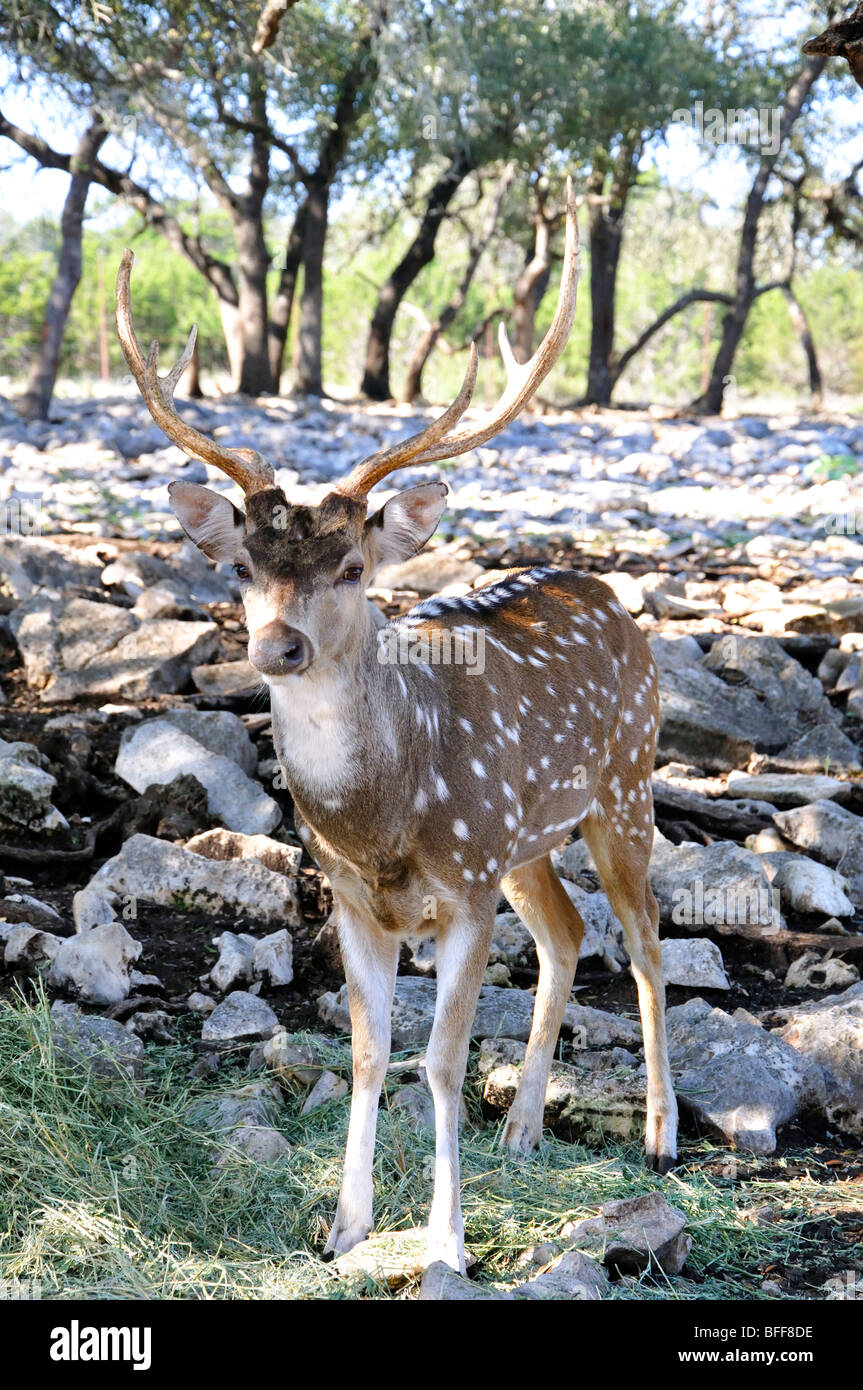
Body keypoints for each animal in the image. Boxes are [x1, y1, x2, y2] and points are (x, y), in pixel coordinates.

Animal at [114, 179, 675, 1273]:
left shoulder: (460, 892)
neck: (378, 822)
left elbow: (444, 1060)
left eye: (349, 567)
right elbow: (373, 1053)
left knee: (642, 939)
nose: (279, 645)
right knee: (565, 934)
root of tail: (606, 589)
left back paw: (660, 1138)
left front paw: (447, 1244)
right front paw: (345, 1227)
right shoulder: (350, 900)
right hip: (520, 844)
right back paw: (524, 1128)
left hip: (622, 786)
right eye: (241, 566)